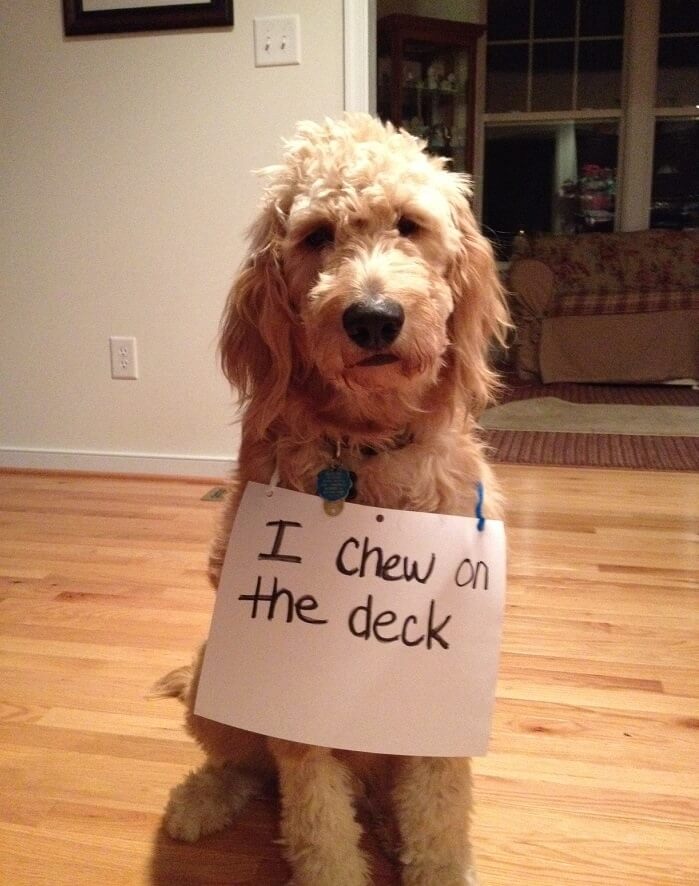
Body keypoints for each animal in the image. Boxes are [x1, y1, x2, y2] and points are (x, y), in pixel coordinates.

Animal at [159, 114, 508, 884]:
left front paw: (440, 864)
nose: (372, 318)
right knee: (248, 769)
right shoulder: (296, 689)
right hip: (212, 680)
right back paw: (201, 800)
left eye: (408, 225)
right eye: (317, 234)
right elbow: (316, 817)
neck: (363, 449)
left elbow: (438, 813)